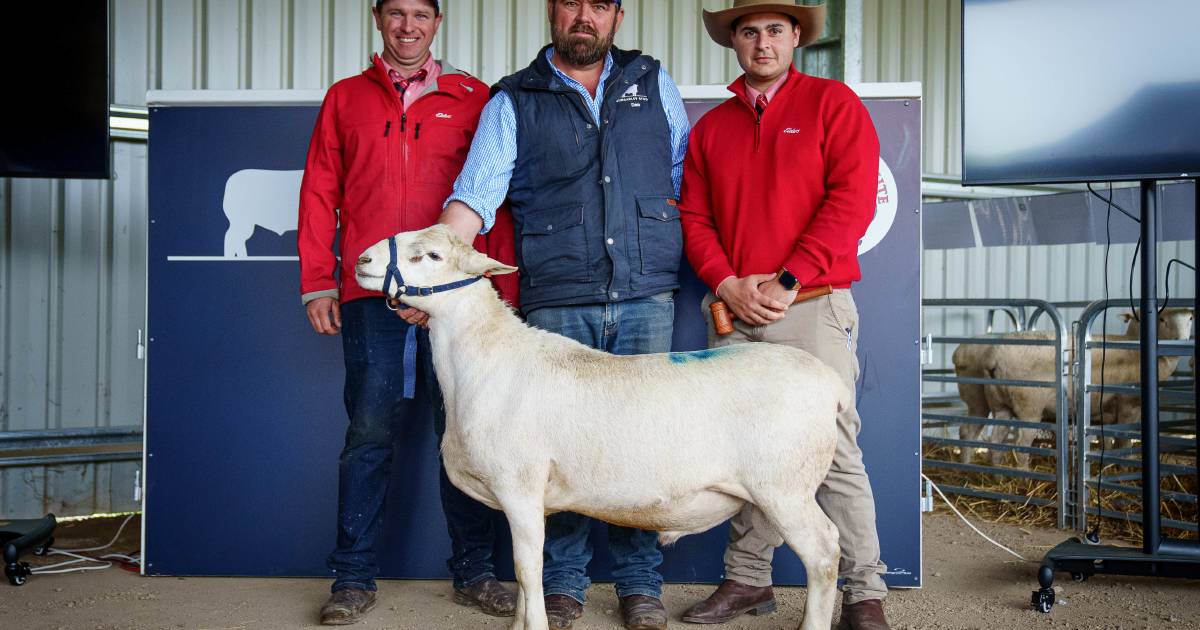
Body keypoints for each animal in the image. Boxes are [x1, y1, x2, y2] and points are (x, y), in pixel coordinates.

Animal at [352, 224, 844, 628]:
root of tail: (829, 381)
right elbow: (527, 579)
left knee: (825, 554)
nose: (361, 261)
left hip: (786, 487)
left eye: (430, 255)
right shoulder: (527, 499)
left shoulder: (519, 487)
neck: (486, 359)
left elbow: (527, 570)